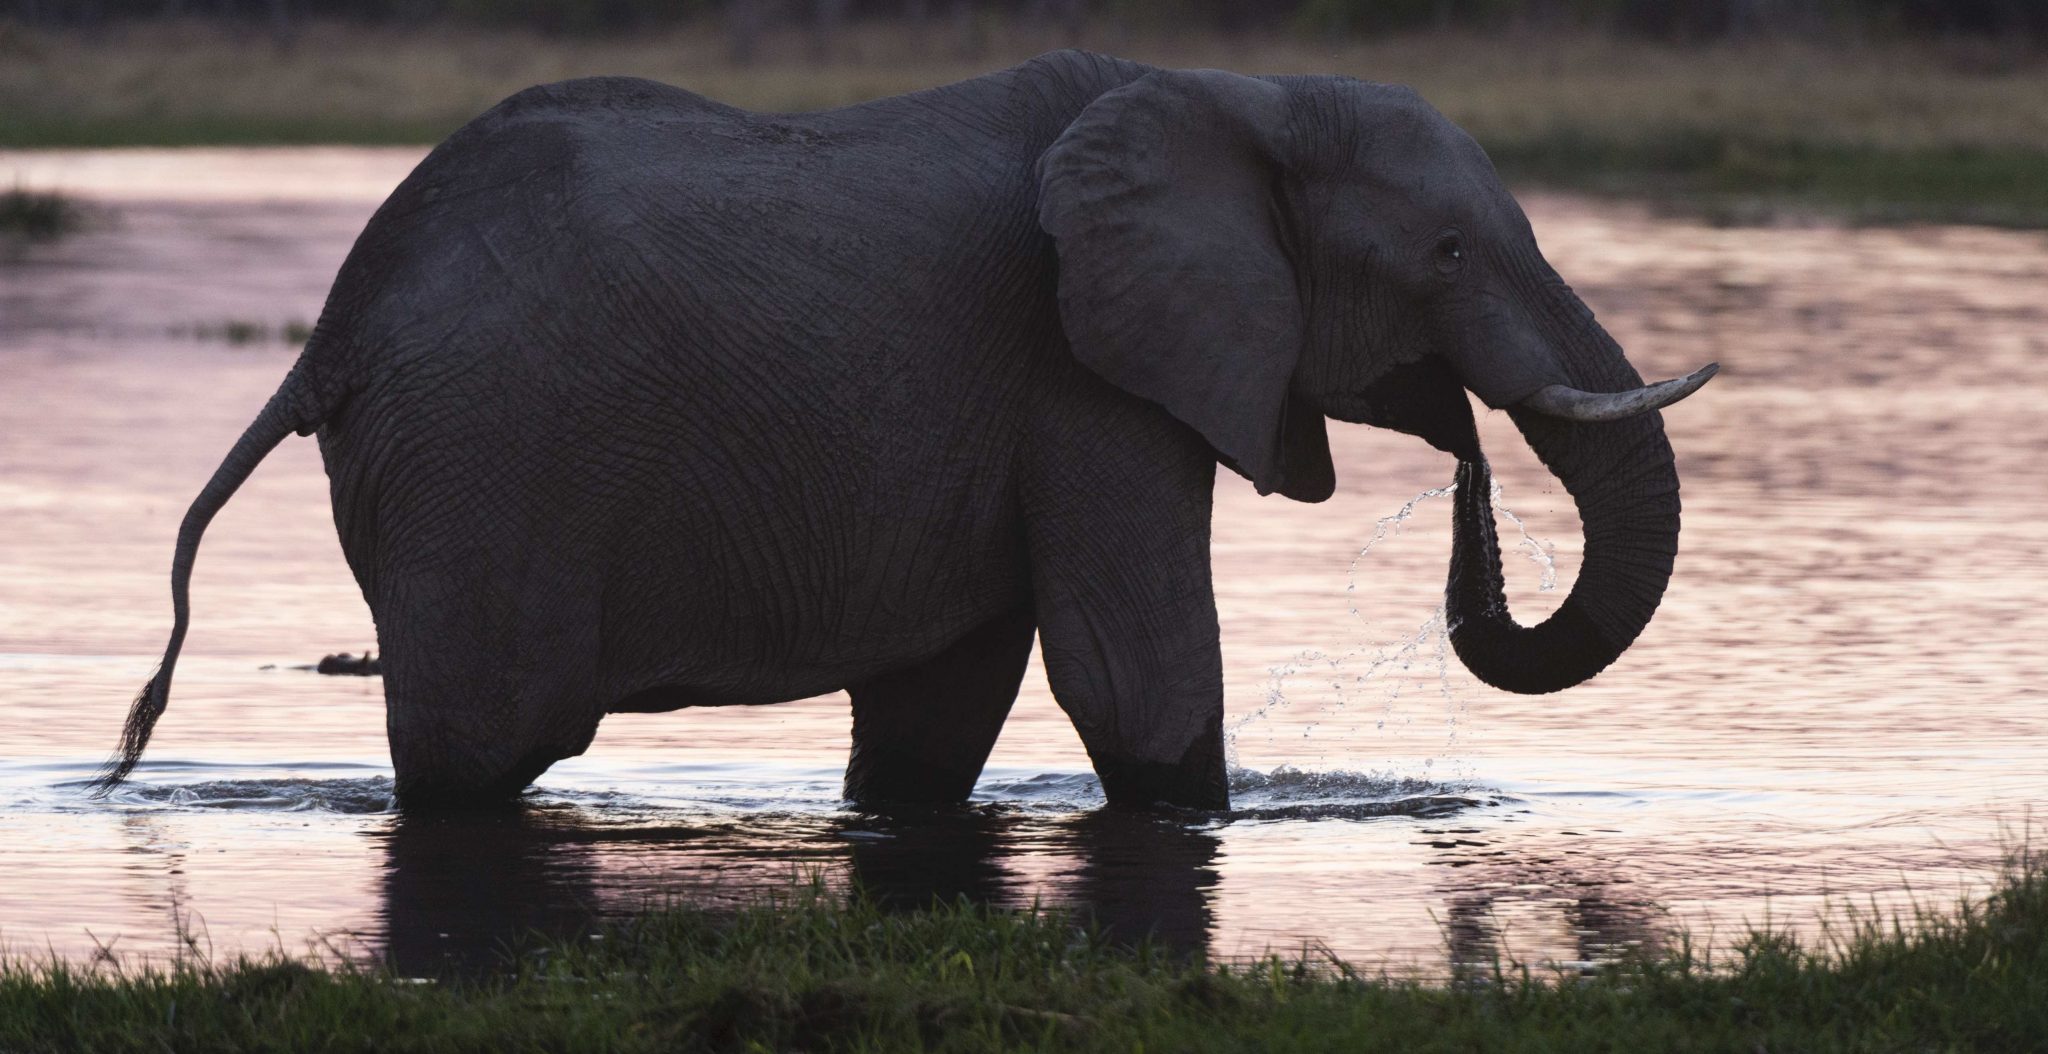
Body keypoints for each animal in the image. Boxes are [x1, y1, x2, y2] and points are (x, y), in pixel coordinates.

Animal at [103, 47, 1720, 810]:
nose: (1462, 448)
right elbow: (1132, 669)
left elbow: (942, 707)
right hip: (484, 459)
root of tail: (328, 334)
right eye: (1445, 254)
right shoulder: (1078, 365)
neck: (1235, 94)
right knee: (489, 732)